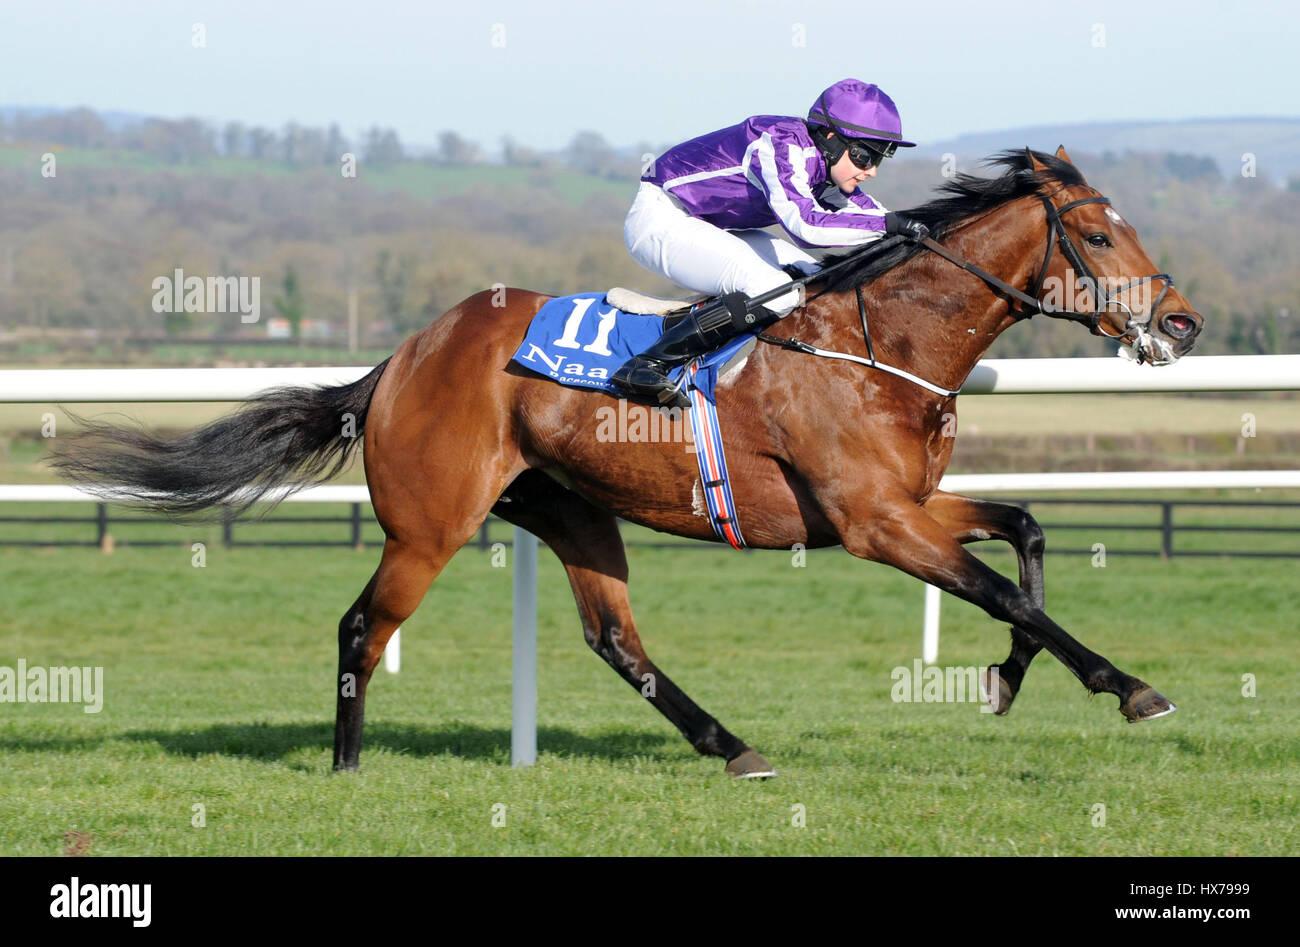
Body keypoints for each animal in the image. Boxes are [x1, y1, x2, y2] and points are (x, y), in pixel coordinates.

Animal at [52, 147, 1203, 778]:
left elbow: (1025, 534)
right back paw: (344, 761)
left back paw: (734, 746)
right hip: (431, 521)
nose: (1183, 321)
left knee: (614, 637)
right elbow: (1001, 590)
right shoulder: (873, 523)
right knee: (361, 626)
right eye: (1102, 236)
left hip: (569, 506)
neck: (883, 345)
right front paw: (1129, 685)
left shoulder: (909, 502)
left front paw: (1006, 682)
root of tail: (401, 357)